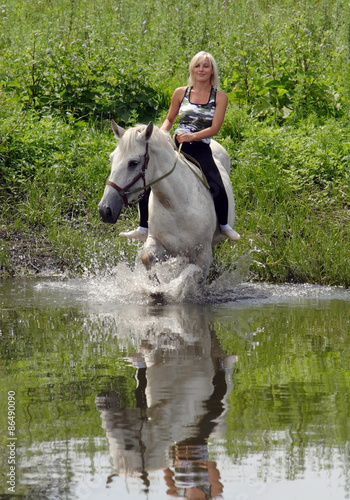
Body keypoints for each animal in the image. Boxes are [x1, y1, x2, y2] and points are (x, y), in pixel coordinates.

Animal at [97, 119, 237, 280]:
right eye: (111, 159)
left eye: (133, 163)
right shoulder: (160, 244)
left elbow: (195, 276)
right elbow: (147, 258)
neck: (177, 206)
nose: (105, 209)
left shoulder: (202, 253)